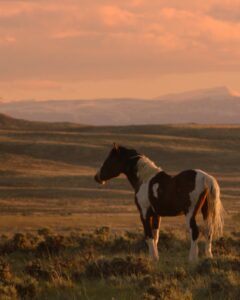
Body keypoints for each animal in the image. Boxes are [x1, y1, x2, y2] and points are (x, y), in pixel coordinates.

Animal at [93, 144, 223, 262]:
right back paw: (208, 256)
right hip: (206, 211)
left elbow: (149, 236)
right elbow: (156, 236)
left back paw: (192, 258)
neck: (145, 179)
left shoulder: (144, 214)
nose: (97, 177)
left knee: (195, 231)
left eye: (109, 160)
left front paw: (153, 258)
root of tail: (206, 178)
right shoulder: (156, 215)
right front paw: (156, 257)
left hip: (190, 213)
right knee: (208, 230)